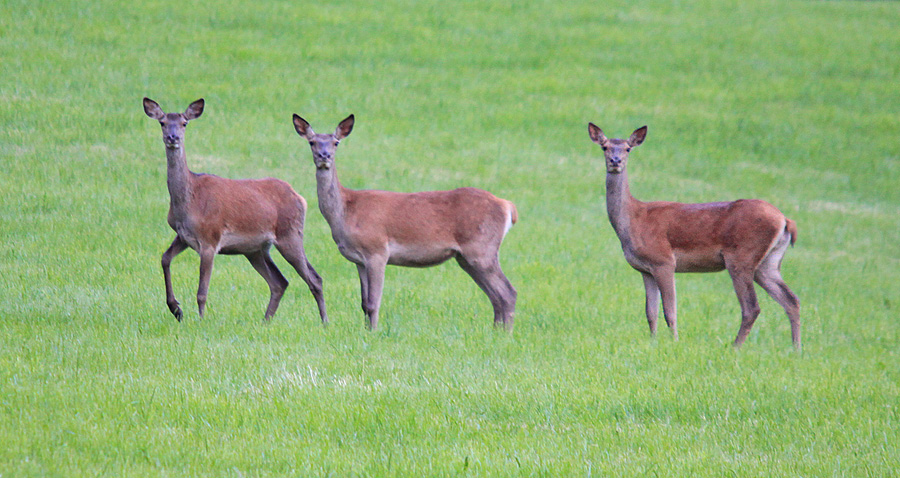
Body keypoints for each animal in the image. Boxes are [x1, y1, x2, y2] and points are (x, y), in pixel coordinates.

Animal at [146, 97, 328, 324]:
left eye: (184, 123)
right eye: (162, 122)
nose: (173, 137)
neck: (188, 202)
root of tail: (300, 198)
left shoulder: (210, 238)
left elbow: (202, 291)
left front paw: (200, 321)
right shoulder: (183, 236)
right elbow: (164, 258)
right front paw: (175, 308)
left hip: (290, 234)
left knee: (314, 278)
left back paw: (324, 322)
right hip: (255, 249)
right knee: (279, 282)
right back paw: (265, 321)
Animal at [294, 115, 520, 330]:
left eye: (336, 142)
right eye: (312, 142)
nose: (324, 156)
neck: (346, 212)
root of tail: (507, 206)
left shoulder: (377, 250)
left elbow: (373, 303)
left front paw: (373, 333)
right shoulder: (358, 260)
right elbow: (364, 303)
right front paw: (365, 331)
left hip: (481, 248)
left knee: (508, 292)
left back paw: (504, 334)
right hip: (466, 257)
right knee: (496, 296)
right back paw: (496, 332)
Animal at [592, 122, 800, 348]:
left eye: (628, 148)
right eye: (605, 147)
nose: (615, 161)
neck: (633, 219)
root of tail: (784, 220)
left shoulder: (664, 261)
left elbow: (670, 311)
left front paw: (674, 341)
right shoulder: (644, 269)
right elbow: (650, 312)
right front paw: (653, 342)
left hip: (742, 256)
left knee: (752, 307)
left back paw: (735, 347)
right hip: (768, 262)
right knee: (791, 300)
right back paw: (796, 349)